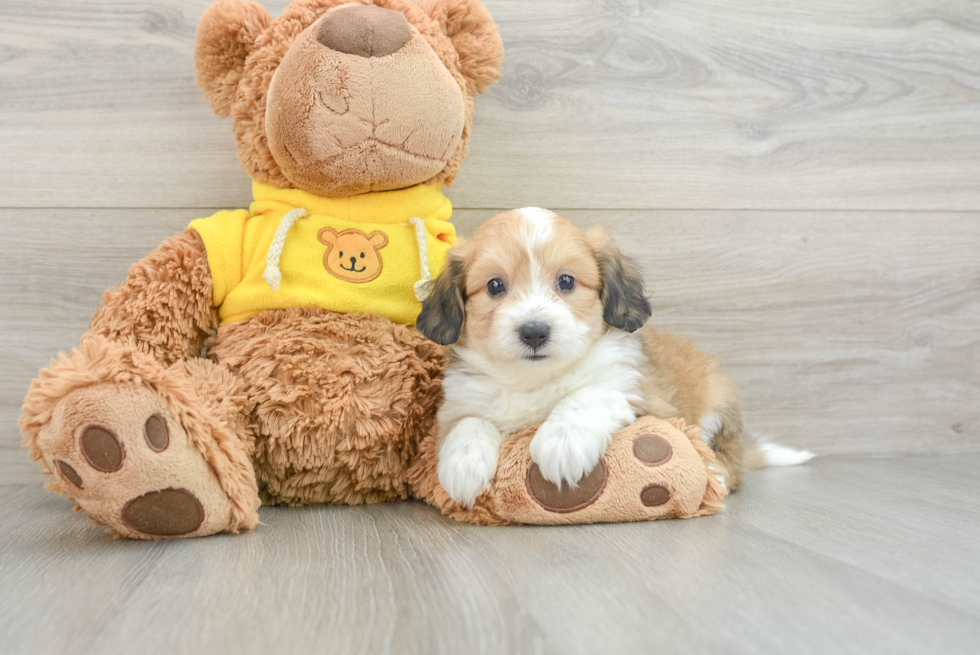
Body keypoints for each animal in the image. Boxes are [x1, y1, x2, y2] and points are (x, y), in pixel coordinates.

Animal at [422, 209, 812, 508]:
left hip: (718, 403)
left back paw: (715, 475)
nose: (534, 332)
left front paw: (563, 440)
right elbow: (469, 422)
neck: (536, 380)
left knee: (727, 463)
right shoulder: (459, 402)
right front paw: (463, 463)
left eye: (566, 281)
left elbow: (591, 395)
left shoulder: (642, 397)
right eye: (494, 286)